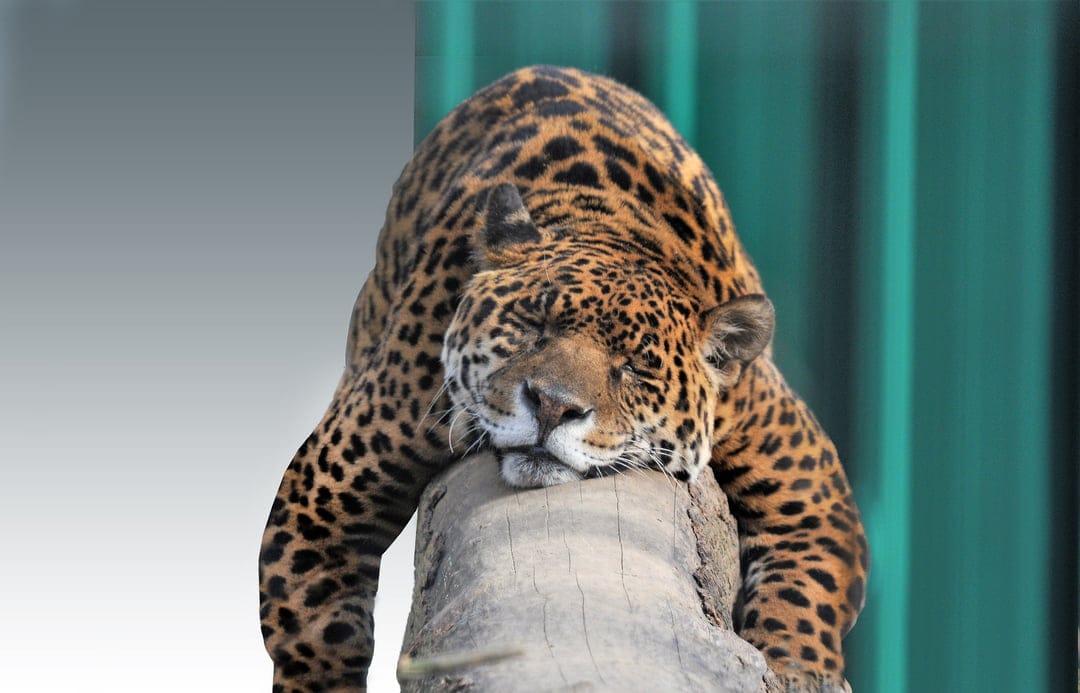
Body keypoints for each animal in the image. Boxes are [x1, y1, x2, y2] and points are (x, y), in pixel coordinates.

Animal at [259, 65, 869, 692]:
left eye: (635, 367)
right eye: (534, 324)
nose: (552, 406)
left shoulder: (807, 486)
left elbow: (807, 600)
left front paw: (795, 670)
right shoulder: (327, 487)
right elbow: (314, 634)